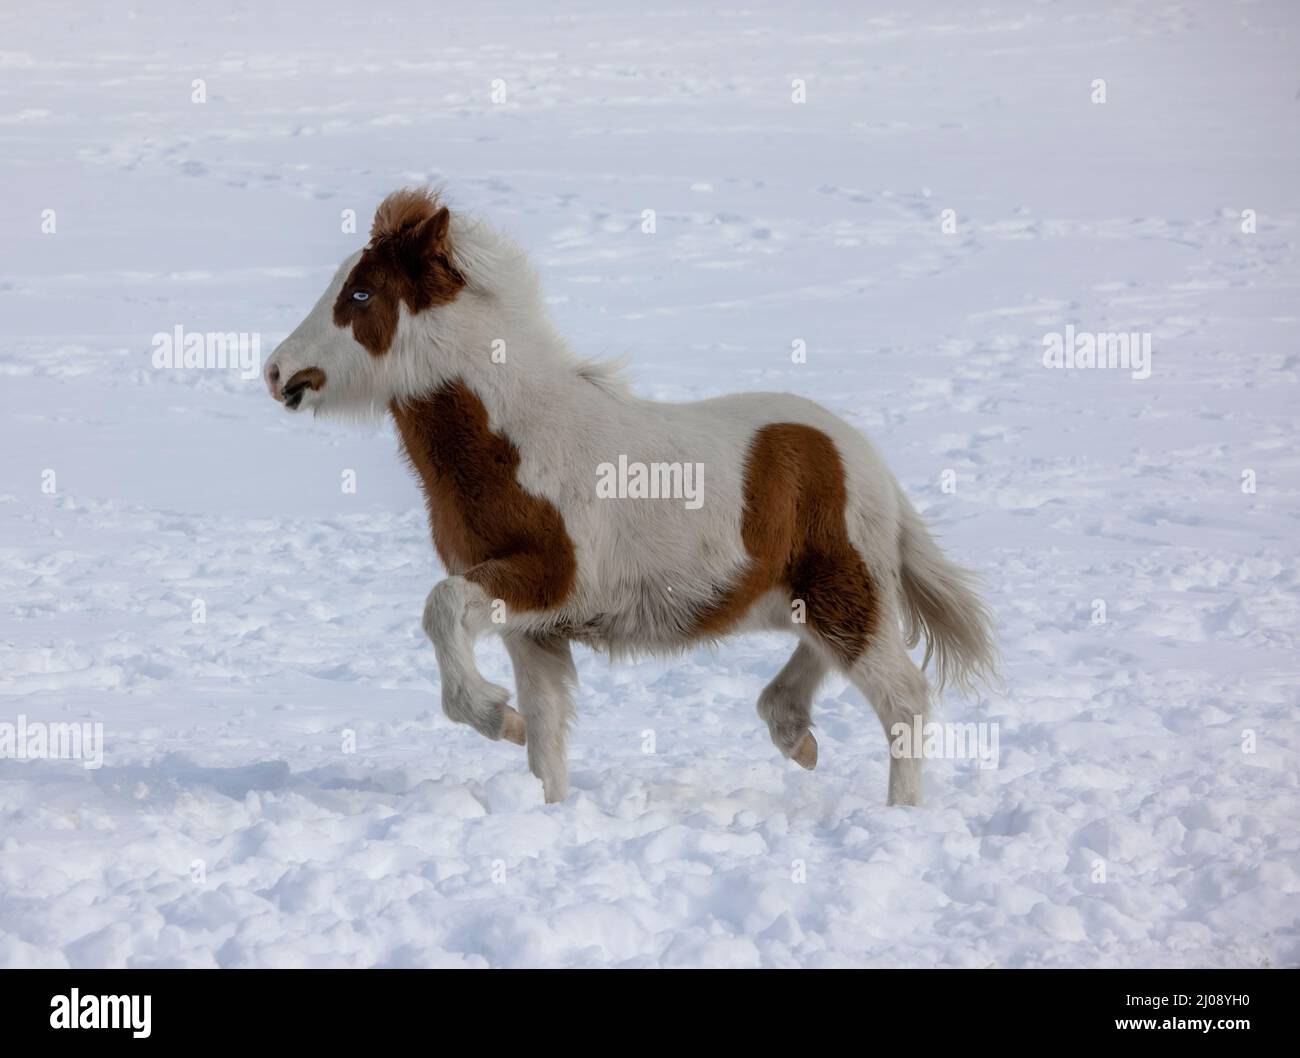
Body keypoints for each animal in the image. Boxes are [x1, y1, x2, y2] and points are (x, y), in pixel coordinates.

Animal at [264, 188, 998, 806]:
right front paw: (540, 785)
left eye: (361, 294)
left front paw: (494, 715)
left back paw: (897, 814)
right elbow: (548, 738)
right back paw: (798, 738)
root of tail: (862, 455)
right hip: (806, 596)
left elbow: (441, 610)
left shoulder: (546, 579)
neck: (517, 439)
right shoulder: (535, 627)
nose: (276, 372)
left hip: (843, 589)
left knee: (905, 699)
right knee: (808, 674)